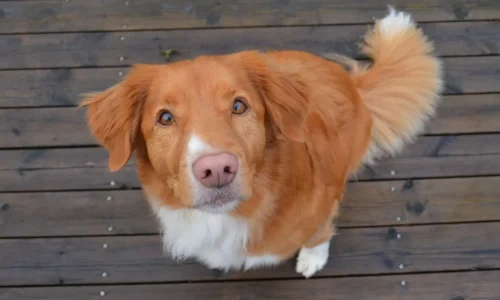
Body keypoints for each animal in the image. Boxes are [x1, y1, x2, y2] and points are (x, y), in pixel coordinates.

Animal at [81, 7, 442, 278]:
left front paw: (312, 258)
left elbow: (320, 233)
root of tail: (352, 83)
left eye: (239, 105)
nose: (216, 169)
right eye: (165, 118)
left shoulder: (323, 204)